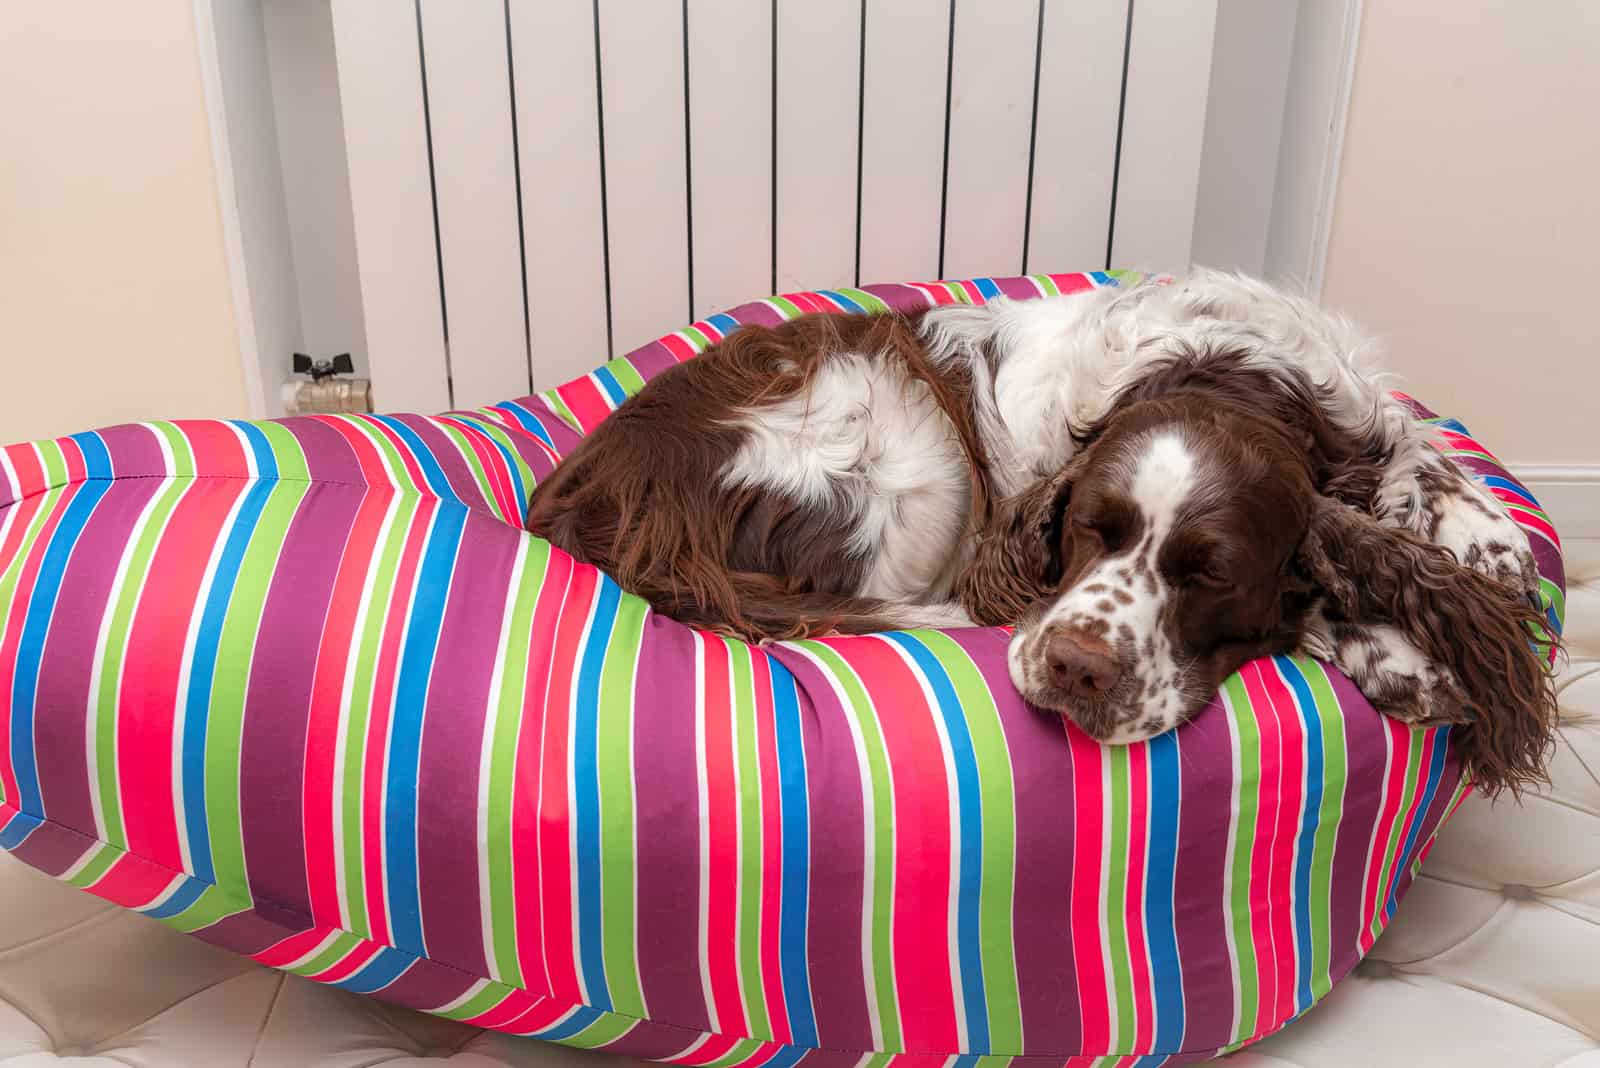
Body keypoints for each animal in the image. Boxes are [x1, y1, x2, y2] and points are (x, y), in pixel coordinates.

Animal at [531, 271, 1555, 796]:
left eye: (1212, 575)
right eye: (1089, 529)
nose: (1076, 667)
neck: (1227, 374)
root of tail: (590, 499)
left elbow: (1420, 453)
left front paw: (1482, 537)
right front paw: (1407, 655)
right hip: (910, 455)